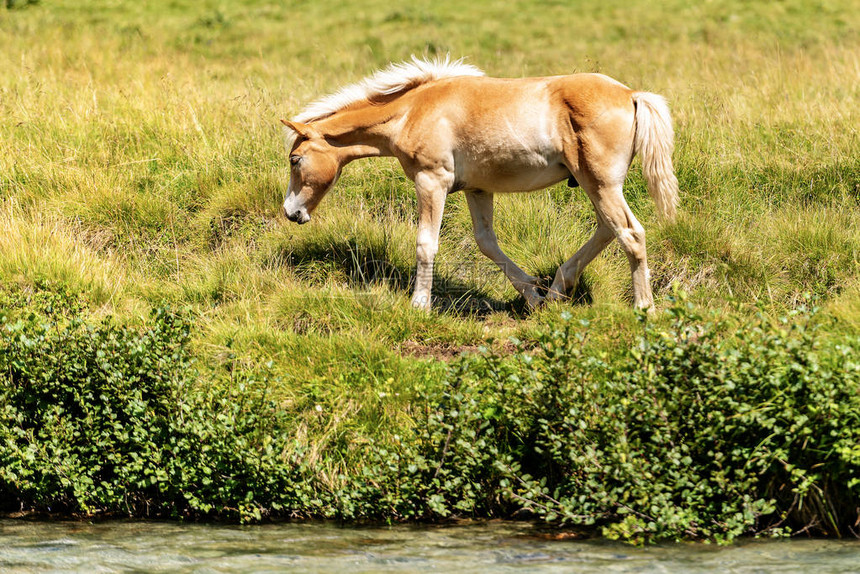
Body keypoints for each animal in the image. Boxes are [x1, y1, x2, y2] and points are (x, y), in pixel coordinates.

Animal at [282, 55, 680, 310]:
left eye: (295, 159)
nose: (291, 212)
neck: (413, 111)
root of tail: (631, 95)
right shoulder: (477, 189)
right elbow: (487, 244)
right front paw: (531, 296)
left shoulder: (432, 181)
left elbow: (426, 244)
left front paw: (418, 305)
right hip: (596, 186)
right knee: (607, 229)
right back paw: (554, 293)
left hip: (600, 184)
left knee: (630, 234)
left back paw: (644, 308)